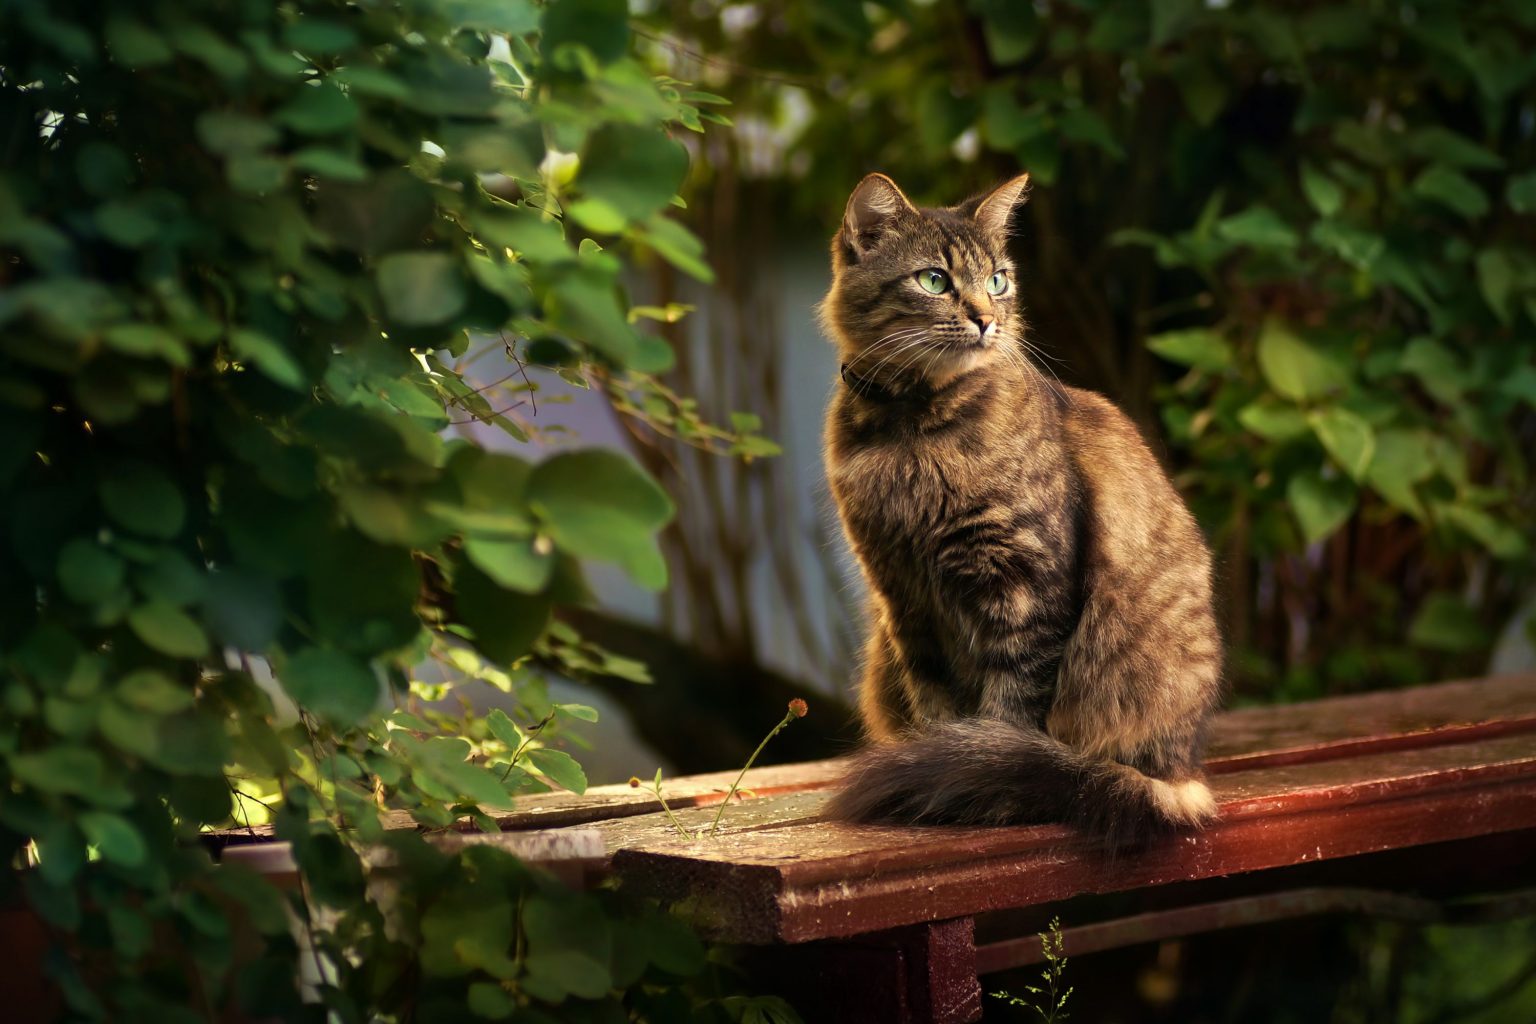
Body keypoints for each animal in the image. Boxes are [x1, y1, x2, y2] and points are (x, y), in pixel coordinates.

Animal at [817, 170, 1222, 841]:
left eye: (999, 280)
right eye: (934, 280)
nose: (986, 319)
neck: (912, 428)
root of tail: (1184, 773)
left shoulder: (1027, 585)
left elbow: (1008, 712)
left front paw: (979, 770)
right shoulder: (904, 599)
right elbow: (936, 707)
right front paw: (938, 759)